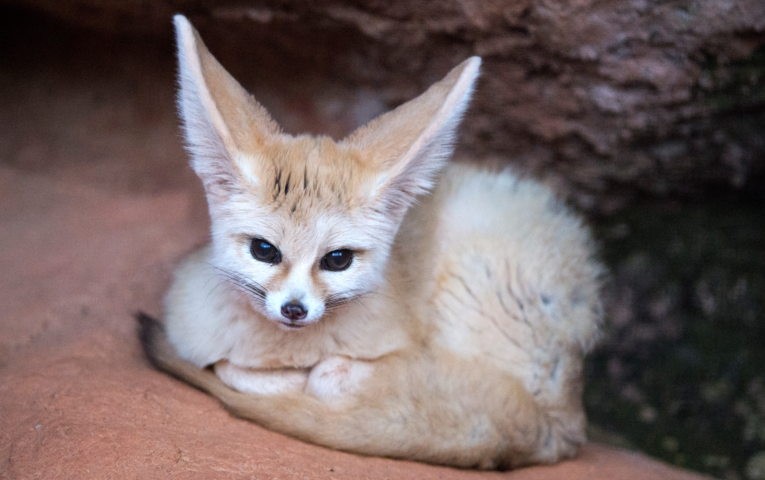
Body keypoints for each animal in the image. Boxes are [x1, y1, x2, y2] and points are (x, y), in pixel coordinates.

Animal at [139, 14, 604, 468]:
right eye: (264, 250)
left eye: (337, 259)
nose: (295, 309)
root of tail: (566, 425)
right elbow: (231, 367)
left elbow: (320, 378)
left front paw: (319, 378)